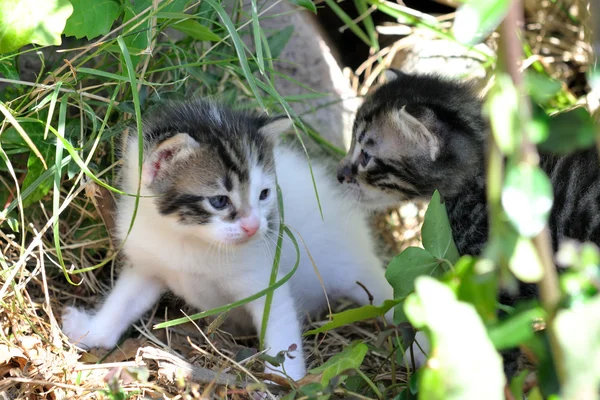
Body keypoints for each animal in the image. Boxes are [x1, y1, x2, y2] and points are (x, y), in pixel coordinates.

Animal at [58, 100, 392, 382]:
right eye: (219, 201)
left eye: (264, 194)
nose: (254, 227)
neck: (187, 240)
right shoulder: (149, 264)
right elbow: (122, 302)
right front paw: (92, 331)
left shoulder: (265, 281)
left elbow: (282, 335)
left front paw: (284, 382)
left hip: (356, 270)